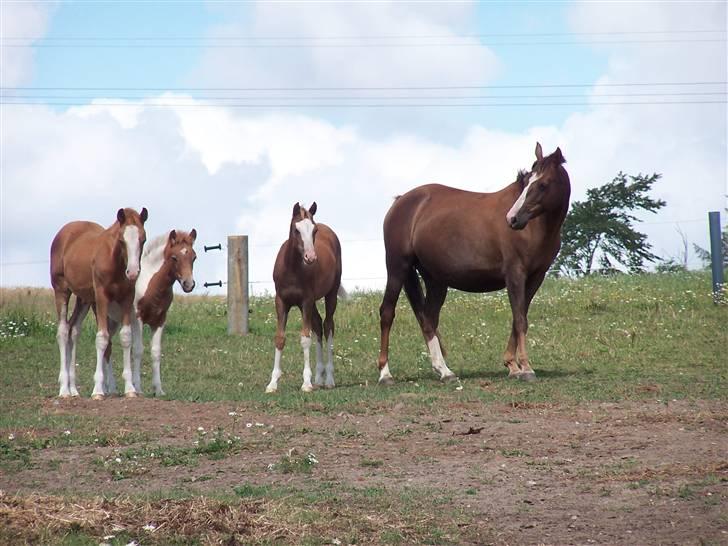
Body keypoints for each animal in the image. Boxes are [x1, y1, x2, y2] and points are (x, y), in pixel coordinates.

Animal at [50, 206, 148, 398]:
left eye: (143, 239)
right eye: (121, 240)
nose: (133, 272)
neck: (115, 262)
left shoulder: (127, 297)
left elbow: (126, 337)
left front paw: (130, 389)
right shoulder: (102, 297)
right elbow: (102, 338)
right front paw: (98, 391)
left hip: (84, 299)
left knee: (74, 329)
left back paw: (73, 389)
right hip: (61, 289)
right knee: (63, 331)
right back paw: (64, 389)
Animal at [100, 228, 196, 396]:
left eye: (194, 257)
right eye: (174, 258)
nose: (188, 284)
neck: (151, 284)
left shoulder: (160, 320)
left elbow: (156, 352)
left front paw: (159, 390)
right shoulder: (137, 318)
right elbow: (138, 350)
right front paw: (137, 388)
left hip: (115, 321)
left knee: (109, 345)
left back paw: (111, 388)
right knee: (107, 346)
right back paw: (106, 389)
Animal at [268, 201, 344, 392]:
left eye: (314, 230)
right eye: (297, 229)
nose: (311, 257)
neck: (292, 269)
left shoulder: (306, 301)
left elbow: (305, 339)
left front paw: (306, 383)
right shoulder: (281, 302)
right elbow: (280, 338)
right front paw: (272, 383)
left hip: (330, 294)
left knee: (328, 326)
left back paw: (329, 379)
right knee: (318, 325)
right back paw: (319, 378)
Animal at [378, 142, 572, 384]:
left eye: (543, 184)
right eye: (527, 181)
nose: (512, 219)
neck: (537, 228)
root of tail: (401, 201)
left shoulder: (536, 277)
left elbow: (518, 318)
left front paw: (512, 365)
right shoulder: (515, 274)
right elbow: (520, 320)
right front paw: (526, 368)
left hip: (435, 280)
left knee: (428, 319)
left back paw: (444, 371)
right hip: (397, 267)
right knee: (387, 313)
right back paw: (385, 374)